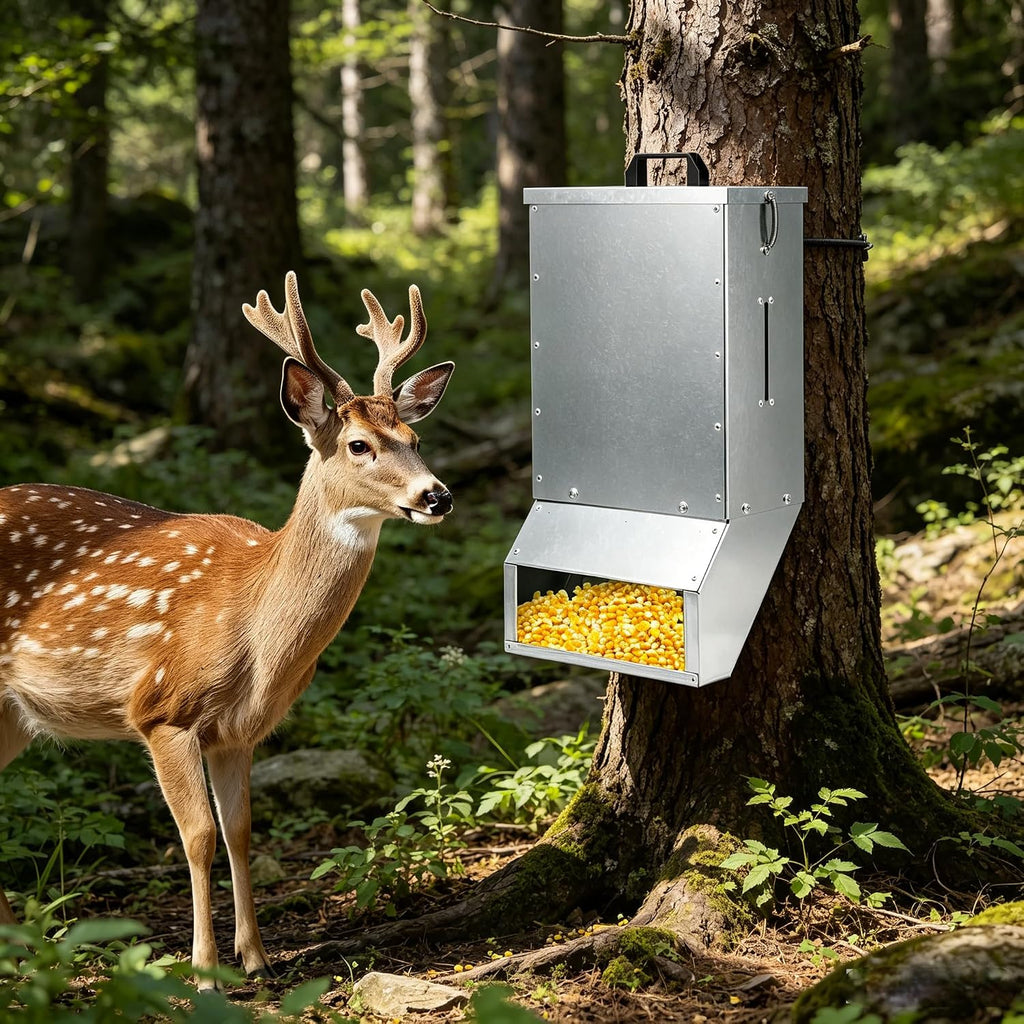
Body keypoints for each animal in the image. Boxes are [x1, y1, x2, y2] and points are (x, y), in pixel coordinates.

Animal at [0, 272, 454, 986]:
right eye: (360, 445)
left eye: (415, 437)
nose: (437, 496)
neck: (256, 632)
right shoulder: (161, 710)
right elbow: (198, 837)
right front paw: (206, 969)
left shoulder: (238, 730)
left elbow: (240, 830)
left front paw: (257, 958)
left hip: (14, 715)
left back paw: (18, 949)